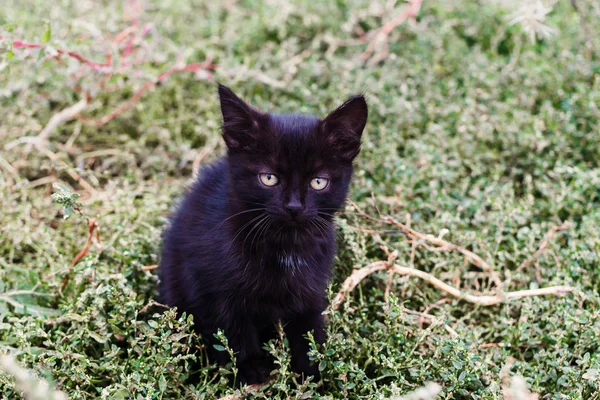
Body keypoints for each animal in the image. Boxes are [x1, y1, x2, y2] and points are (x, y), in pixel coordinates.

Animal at [159, 84, 366, 384]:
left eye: (318, 182)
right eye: (268, 178)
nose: (294, 207)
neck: (284, 245)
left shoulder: (311, 289)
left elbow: (309, 330)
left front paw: (312, 374)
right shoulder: (215, 290)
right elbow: (234, 332)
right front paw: (252, 373)